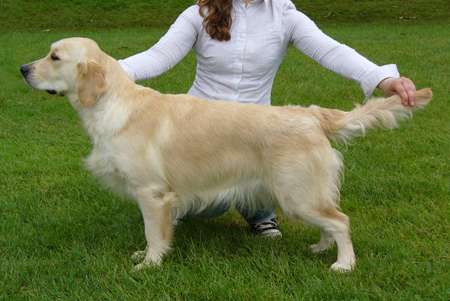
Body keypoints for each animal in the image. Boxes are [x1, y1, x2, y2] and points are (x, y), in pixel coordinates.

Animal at [21, 37, 432, 270]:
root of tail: (312, 114)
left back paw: (343, 265)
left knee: (342, 221)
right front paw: (146, 258)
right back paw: (320, 248)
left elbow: (153, 233)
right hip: (305, 193)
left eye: (54, 57)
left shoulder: (152, 193)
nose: (22, 68)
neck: (112, 103)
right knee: (330, 221)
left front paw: (149, 265)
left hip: (297, 193)